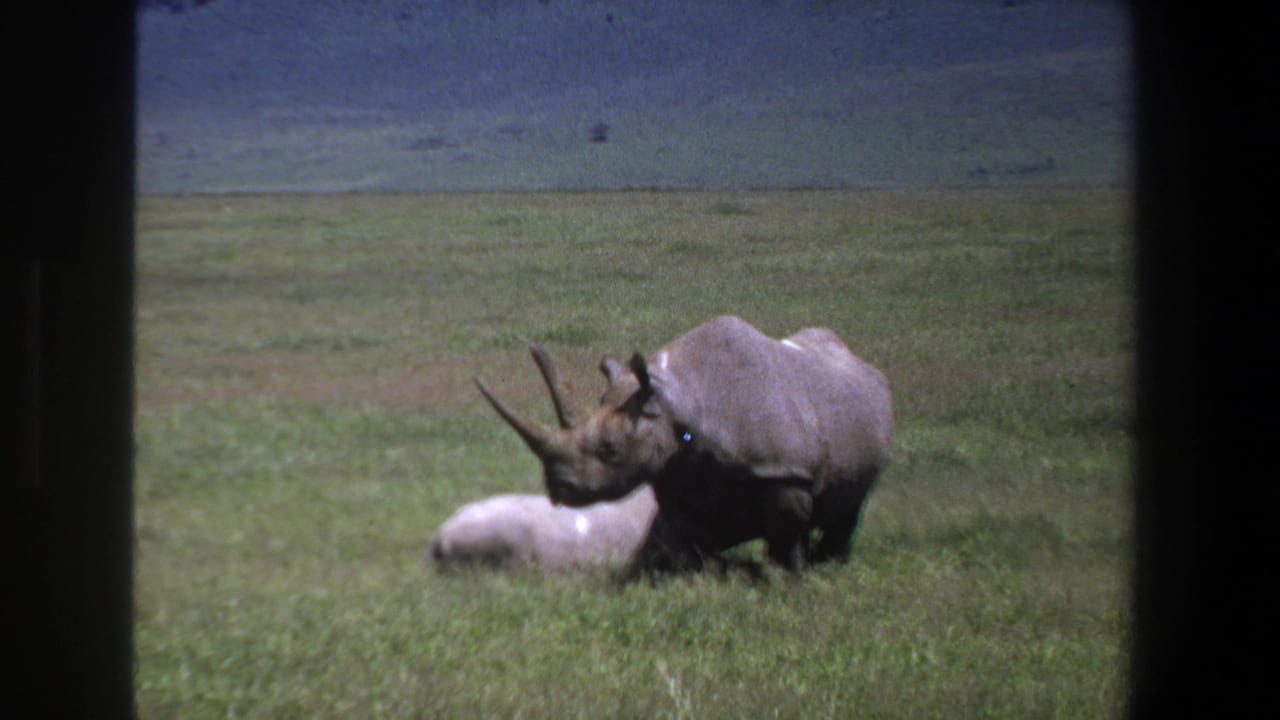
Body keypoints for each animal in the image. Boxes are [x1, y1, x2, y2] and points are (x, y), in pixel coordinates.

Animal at [475, 315, 893, 574]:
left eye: (608, 449)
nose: (558, 489)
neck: (678, 402)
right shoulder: (678, 474)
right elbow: (675, 543)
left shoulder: (785, 471)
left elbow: (786, 538)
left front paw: (791, 581)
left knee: (850, 506)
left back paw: (830, 565)